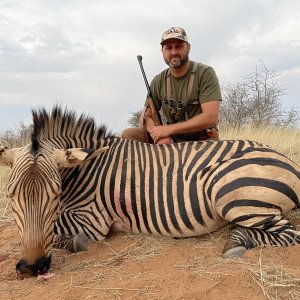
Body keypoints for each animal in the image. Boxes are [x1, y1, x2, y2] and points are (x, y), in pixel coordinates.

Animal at [0, 106, 298, 276]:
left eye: (55, 193)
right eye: (11, 195)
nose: (32, 267)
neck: (86, 169)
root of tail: (288, 160)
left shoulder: (93, 219)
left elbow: (61, 231)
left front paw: (75, 242)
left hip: (228, 191)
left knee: (289, 233)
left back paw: (237, 244)